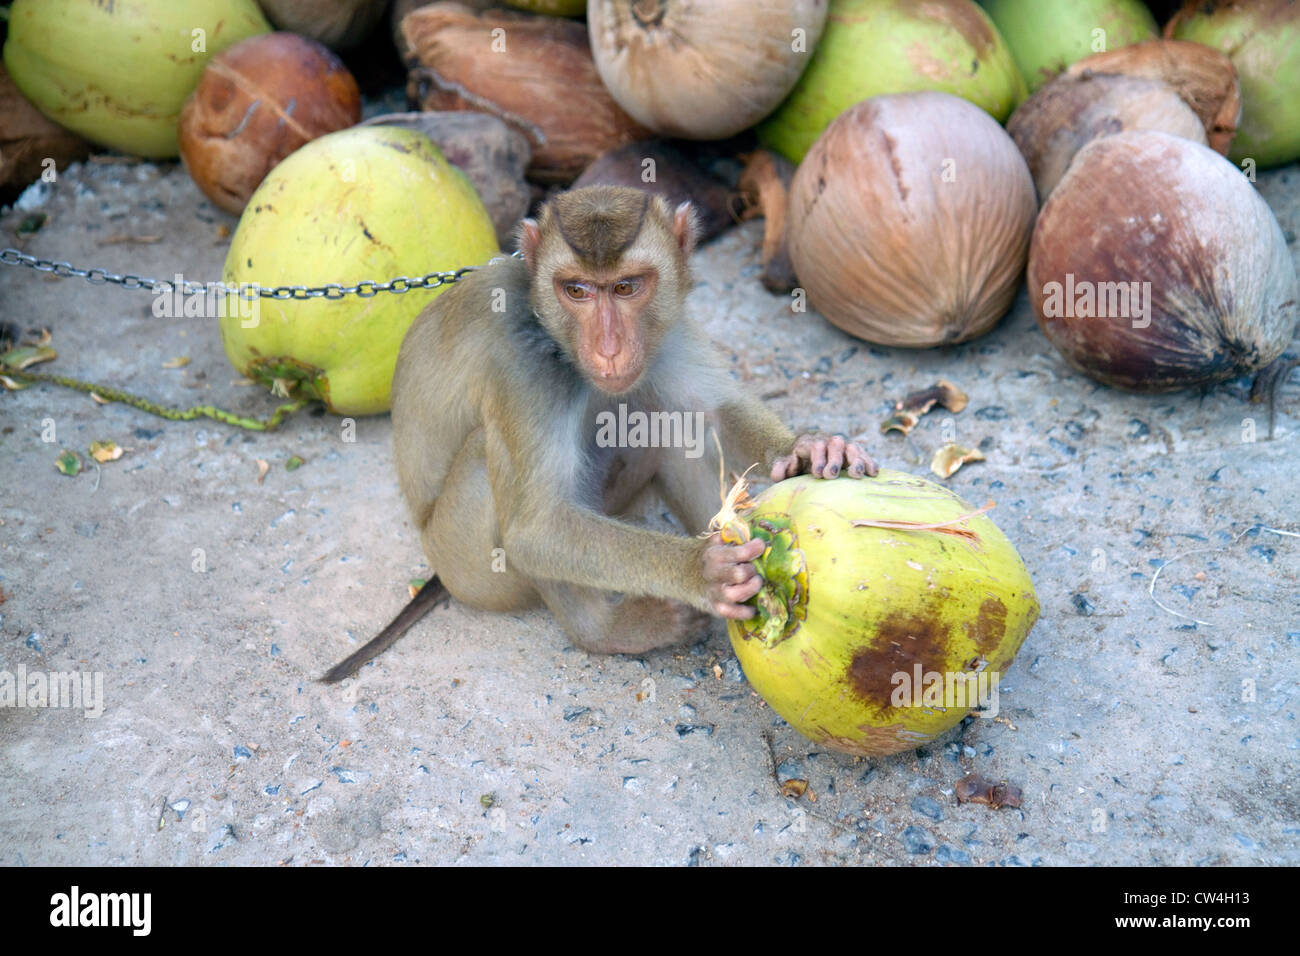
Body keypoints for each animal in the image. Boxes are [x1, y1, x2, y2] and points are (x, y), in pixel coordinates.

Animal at [322, 184, 873, 681]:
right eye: (577, 290)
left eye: (626, 287)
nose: (609, 349)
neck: (551, 331)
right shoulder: (522, 365)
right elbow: (538, 528)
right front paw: (701, 571)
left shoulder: (668, 327)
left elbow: (713, 412)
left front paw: (807, 450)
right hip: (468, 567)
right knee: (491, 462)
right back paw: (607, 630)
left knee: (664, 420)